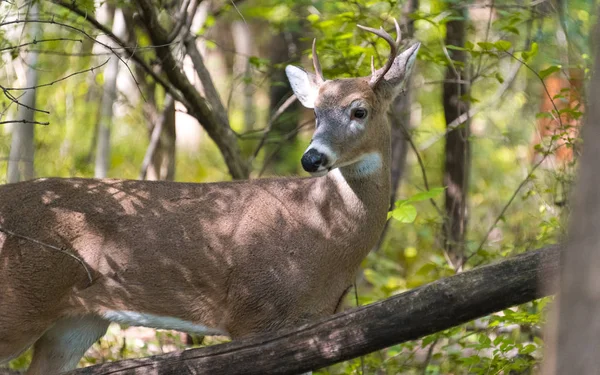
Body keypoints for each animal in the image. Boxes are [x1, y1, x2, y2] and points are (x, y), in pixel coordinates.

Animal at [0, 21, 420, 375]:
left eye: (359, 111)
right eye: (315, 112)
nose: (311, 158)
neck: (321, 237)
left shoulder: (310, 329)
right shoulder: (252, 313)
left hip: (77, 322)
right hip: (17, 302)